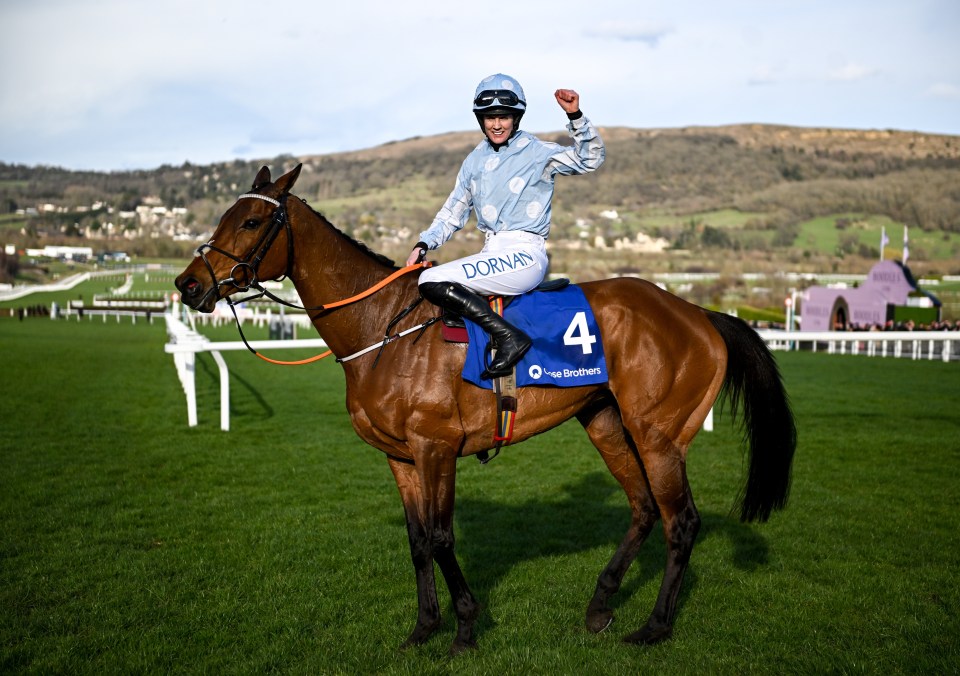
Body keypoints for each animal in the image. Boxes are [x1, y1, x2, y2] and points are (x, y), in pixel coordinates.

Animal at [172, 164, 796, 656]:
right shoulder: (400, 458)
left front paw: (465, 629)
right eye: (226, 216)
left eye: (251, 223)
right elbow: (417, 540)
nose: (187, 284)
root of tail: (699, 312)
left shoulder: (436, 447)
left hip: (659, 434)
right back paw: (599, 605)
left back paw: (655, 626)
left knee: (680, 521)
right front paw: (423, 628)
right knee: (644, 510)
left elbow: (442, 538)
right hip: (605, 421)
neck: (384, 330)